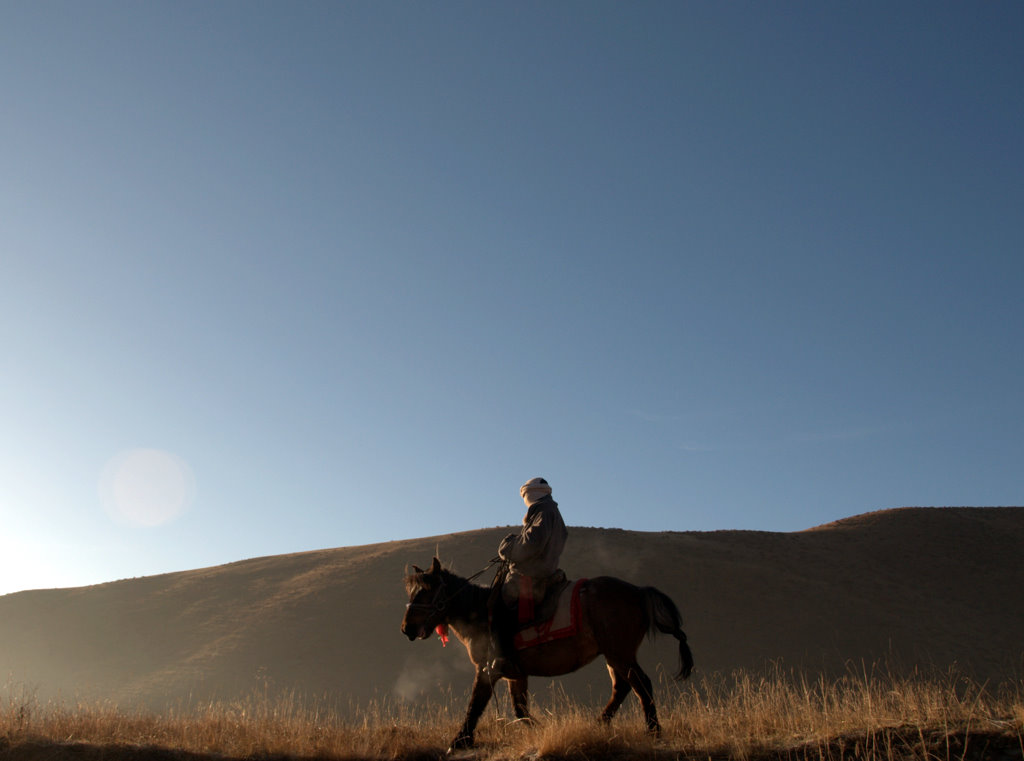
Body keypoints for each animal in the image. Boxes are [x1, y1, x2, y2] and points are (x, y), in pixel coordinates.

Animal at [401, 557, 696, 753]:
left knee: (641, 684)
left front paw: (459, 741)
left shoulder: (487, 669)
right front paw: (541, 728)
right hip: (614, 656)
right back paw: (600, 723)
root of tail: (638, 591)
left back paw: (653, 731)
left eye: (426, 591)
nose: (407, 629)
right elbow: (520, 709)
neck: (480, 613)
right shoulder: (516, 674)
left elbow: (476, 704)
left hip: (620, 653)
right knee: (623, 687)